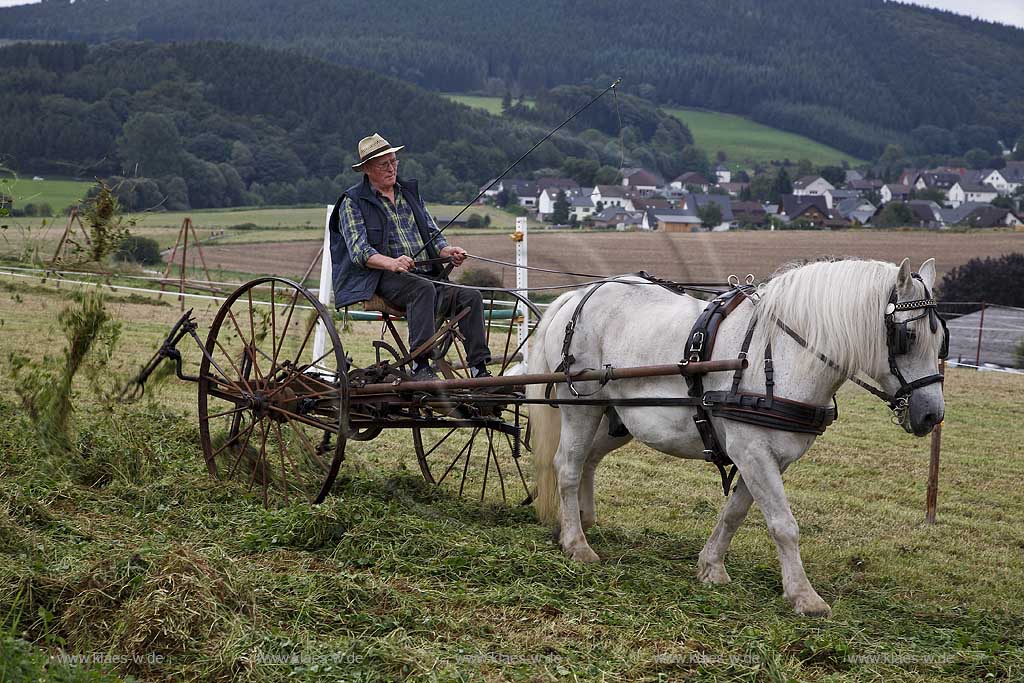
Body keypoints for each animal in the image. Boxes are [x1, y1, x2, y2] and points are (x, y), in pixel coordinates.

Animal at [532, 259, 946, 618]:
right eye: (907, 336)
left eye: (941, 339)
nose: (932, 414)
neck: (781, 355)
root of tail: (578, 296)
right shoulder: (753, 452)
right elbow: (784, 524)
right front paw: (804, 595)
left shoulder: (767, 458)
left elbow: (734, 513)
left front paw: (711, 566)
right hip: (581, 407)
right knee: (567, 467)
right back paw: (577, 544)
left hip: (617, 419)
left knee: (589, 460)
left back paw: (579, 522)